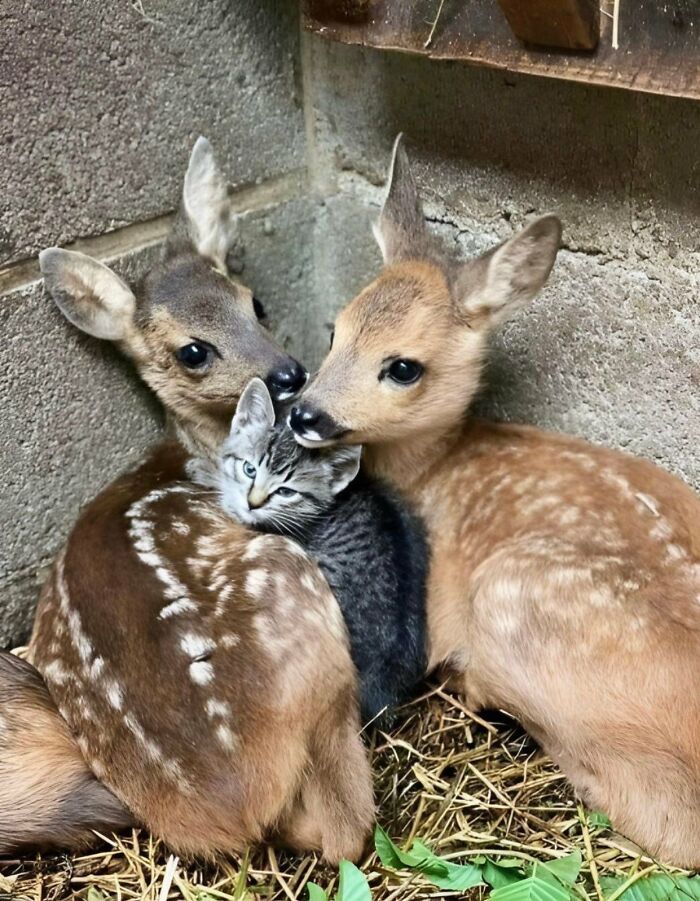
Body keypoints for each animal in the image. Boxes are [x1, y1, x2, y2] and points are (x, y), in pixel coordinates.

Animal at [0, 138, 374, 862]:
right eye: (193, 351)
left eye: (255, 303)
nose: (288, 372)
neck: (194, 454)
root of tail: (231, 800)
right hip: (295, 590)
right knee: (345, 828)